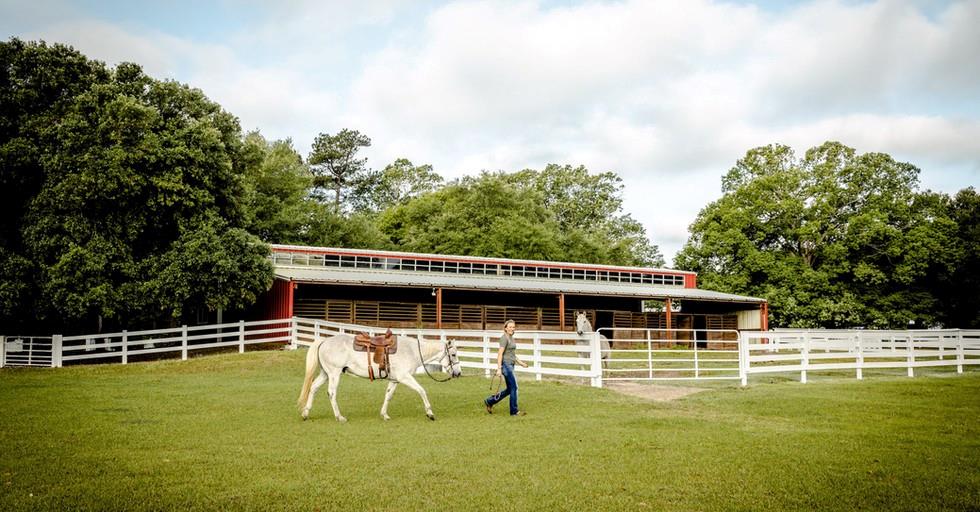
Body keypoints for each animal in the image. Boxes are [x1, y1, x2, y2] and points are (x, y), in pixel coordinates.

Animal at [296, 330, 462, 422]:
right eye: (453, 354)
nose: (458, 373)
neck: (412, 350)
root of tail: (324, 341)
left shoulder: (395, 380)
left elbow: (388, 396)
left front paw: (384, 415)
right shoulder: (404, 377)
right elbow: (421, 390)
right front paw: (430, 413)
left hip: (325, 374)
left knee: (313, 388)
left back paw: (305, 414)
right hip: (334, 374)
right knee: (331, 393)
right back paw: (339, 417)